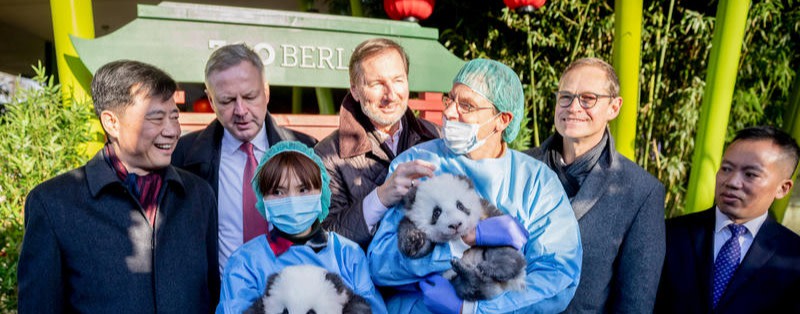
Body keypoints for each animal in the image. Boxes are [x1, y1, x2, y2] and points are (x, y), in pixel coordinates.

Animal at [396, 174, 528, 302]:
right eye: (436, 212)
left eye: (460, 205)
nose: (455, 225)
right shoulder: (412, 219)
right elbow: (411, 238)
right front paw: (414, 240)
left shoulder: (484, 210)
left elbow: (505, 223)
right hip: (452, 277)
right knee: (468, 287)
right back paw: (467, 274)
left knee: (506, 254)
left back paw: (491, 268)